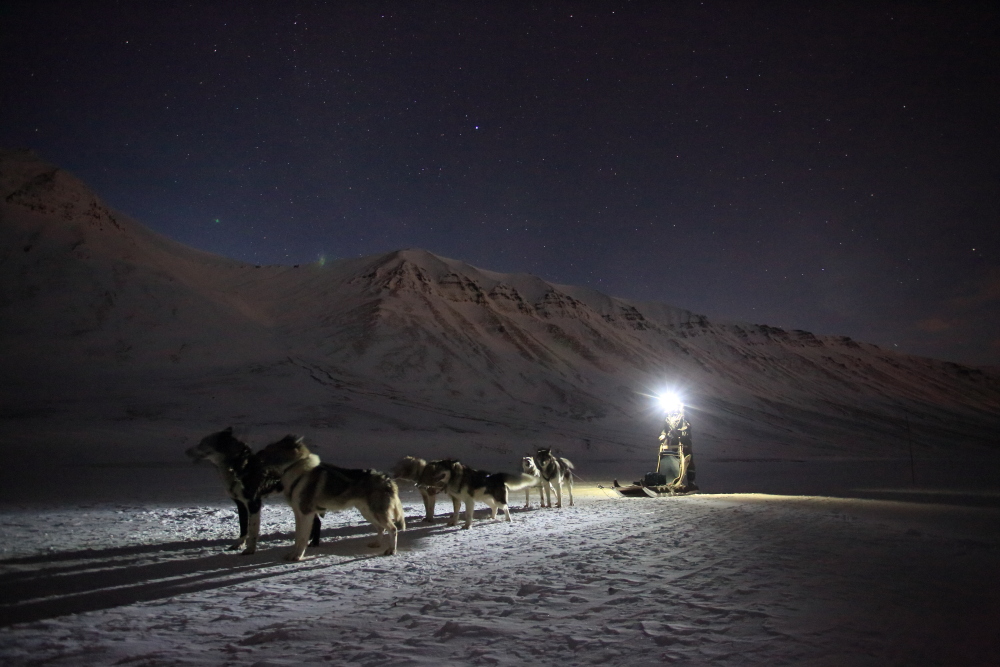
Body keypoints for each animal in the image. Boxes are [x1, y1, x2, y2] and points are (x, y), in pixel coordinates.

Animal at [183, 430, 316, 556]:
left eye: (203, 443)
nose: (187, 451)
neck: (238, 466)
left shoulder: (254, 503)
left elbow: (252, 530)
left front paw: (250, 549)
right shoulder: (240, 504)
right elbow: (243, 527)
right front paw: (239, 544)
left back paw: (312, 543)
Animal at [258, 436, 406, 560]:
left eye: (269, 449)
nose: (256, 454)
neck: (299, 475)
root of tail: (387, 479)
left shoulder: (306, 514)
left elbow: (302, 539)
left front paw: (298, 556)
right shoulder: (299, 514)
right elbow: (297, 537)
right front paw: (293, 554)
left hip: (376, 513)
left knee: (393, 529)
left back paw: (391, 550)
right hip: (368, 513)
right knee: (381, 528)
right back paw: (376, 544)